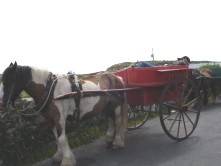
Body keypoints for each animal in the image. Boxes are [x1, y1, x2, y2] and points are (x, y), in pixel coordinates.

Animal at [0, 61, 128, 165]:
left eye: (8, 81)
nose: (1, 103)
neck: (49, 90)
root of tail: (116, 77)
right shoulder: (51, 119)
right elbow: (56, 137)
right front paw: (58, 156)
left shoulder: (59, 117)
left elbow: (62, 138)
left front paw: (67, 160)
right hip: (107, 106)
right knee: (110, 119)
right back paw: (109, 138)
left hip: (116, 105)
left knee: (117, 120)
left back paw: (117, 142)